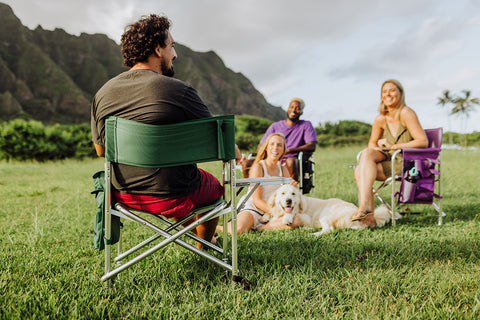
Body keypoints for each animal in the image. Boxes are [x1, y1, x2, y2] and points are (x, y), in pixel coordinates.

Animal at [266, 185, 398, 235]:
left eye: (293, 194)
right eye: (283, 193)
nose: (288, 201)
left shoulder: (306, 216)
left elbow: (292, 213)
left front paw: (287, 217)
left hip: (325, 214)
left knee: (328, 230)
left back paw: (313, 234)